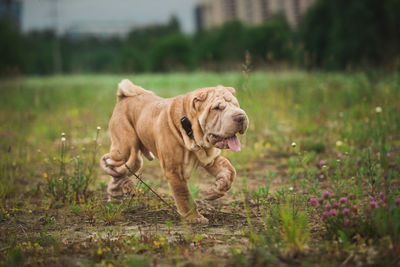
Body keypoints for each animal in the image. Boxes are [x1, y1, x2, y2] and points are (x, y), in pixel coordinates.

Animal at [100, 79, 248, 224]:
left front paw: (214, 191)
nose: (241, 116)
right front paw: (195, 218)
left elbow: (229, 171)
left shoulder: (210, 159)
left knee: (117, 175)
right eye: (216, 108)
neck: (189, 129)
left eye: (236, 104)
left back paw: (116, 198)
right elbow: (184, 195)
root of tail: (123, 97)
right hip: (127, 150)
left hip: (133, 160)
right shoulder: (174, 170)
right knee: (111, 163)